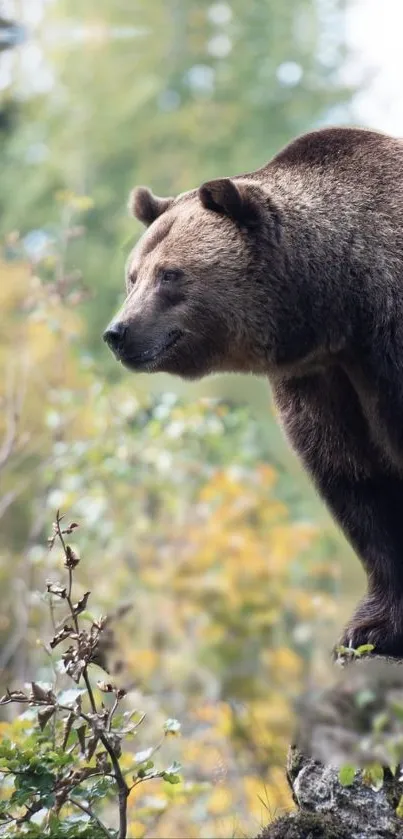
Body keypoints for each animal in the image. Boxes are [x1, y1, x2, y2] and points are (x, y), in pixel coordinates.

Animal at [104, 128, 403, 660]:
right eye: (133, 276)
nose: (118, 332)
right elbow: (356, 480)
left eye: (170, 274)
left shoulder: (383, 350)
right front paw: (369, 630)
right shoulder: (320, 381)